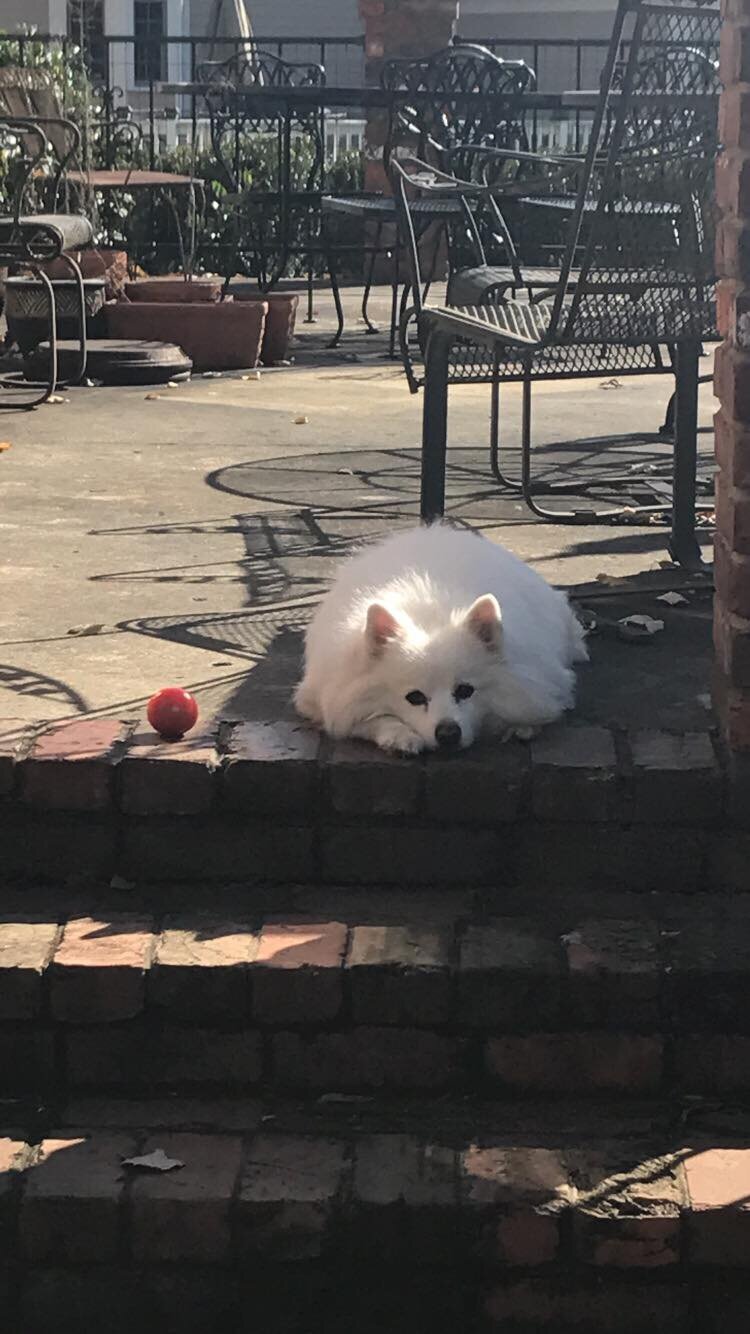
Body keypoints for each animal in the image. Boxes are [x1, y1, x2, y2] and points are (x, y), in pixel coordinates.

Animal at [295, 524, 588, 754]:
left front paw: (519, 727)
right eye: (415, 697)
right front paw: (399, 736)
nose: (448, 733)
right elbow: (366, 719)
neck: (432, 617)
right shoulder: (328, 697)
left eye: (465, 691)